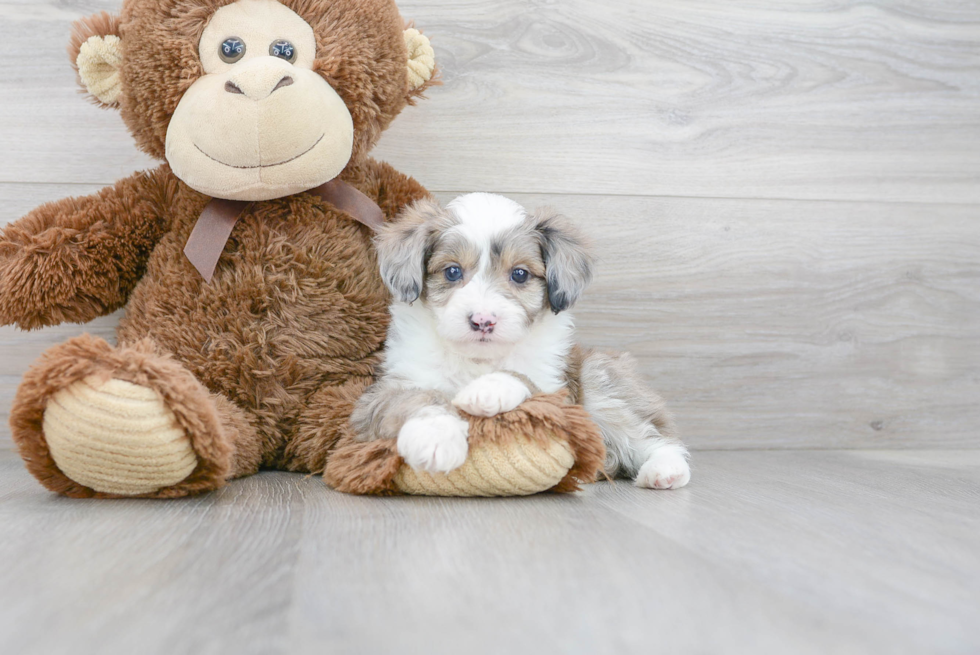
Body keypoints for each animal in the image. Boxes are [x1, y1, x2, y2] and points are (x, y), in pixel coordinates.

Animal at [352, 192, 688, 490]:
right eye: (452, 271)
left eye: (520, 274)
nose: (483, 321)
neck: (478, 360)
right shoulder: (382, 394)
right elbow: (414, 399)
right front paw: (435, 436)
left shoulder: (558, 392)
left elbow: (523, 377)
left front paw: (489, 389)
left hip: (599, 380)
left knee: (652, 435)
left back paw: (665, 469)